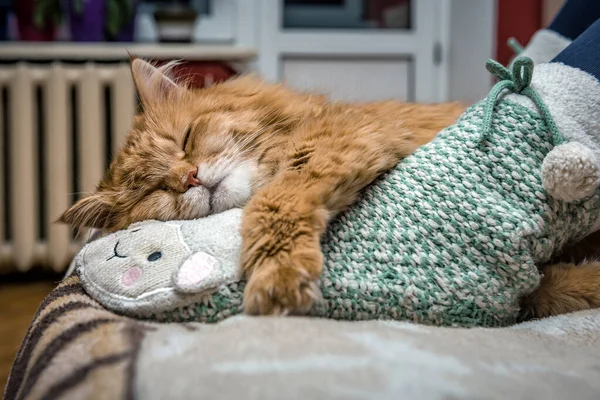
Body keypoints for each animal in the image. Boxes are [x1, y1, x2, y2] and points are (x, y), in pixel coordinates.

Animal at [59, 58, 600, 318]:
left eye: (186, 140)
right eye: (154, 191)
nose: (189, 178)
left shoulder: (340, 144)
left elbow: (274, 203)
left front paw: (277, 277)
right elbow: (547, 291)